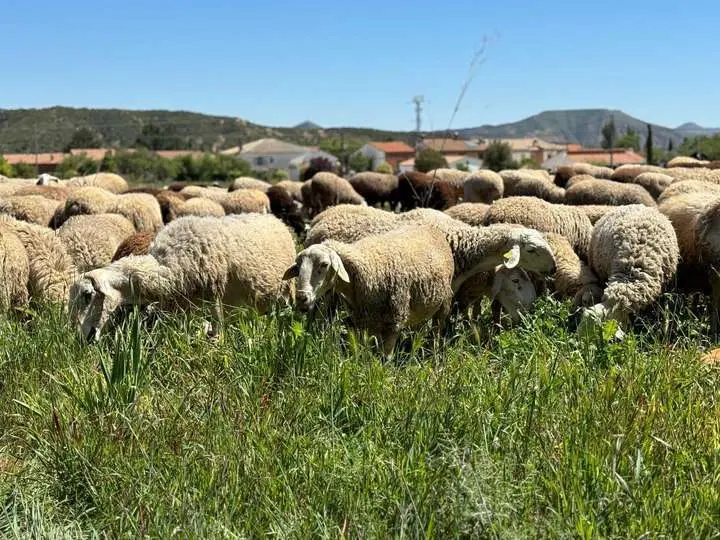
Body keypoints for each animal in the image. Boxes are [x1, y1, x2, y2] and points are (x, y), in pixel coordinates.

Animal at [69, 214, 296, 341]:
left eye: (88, 295)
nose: (82, 338)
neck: (165, 266)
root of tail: (275, 219)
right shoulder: (184, 309)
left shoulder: (215, 295)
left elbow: (218, 332)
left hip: (286, 291)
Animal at [284, 225, 454, 355]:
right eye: (298, 266)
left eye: (324, 264)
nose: (301, 298)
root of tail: (431, 228)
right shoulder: (366, 322)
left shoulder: (394, 322)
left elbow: (385, 357)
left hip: (444, 303)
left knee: (437, 332)